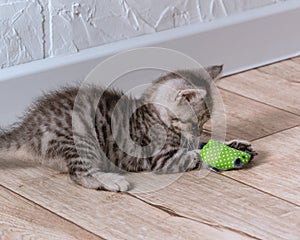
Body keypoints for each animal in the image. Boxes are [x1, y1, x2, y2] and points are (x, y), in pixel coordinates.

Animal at [0, 65, 255, 191]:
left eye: (203, 124)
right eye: (196, 122)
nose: (197, 132)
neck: (154, 114)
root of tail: (29, 125)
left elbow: (204, 146)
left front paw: (236, 145)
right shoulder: (162, 158)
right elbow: (194, 155)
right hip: (80, 137)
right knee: (78, 173)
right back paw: (110, 181)